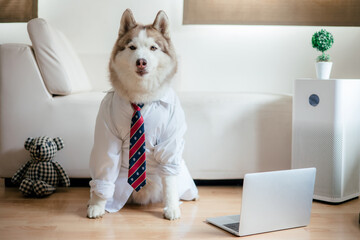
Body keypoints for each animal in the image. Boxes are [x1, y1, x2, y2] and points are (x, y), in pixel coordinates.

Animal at [88, 9, 200, 220]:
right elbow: (104, 169)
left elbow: (169, 180)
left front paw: (172, 207)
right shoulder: (107, 137)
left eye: (153, 48)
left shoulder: (169, 142)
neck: (141, 98)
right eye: (132, 47)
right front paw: (98, 204)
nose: (141, 62)